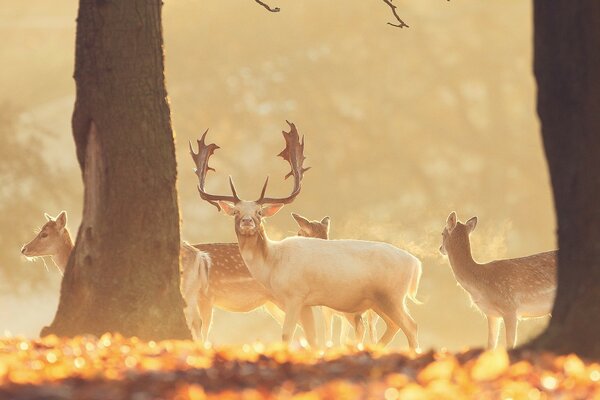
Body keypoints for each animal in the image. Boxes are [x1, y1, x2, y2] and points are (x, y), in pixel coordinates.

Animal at [21, 211, 211, 340]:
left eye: (44, 234)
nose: (24, 249)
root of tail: (200, 257)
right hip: (193, 292)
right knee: (198, 321)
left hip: (186, 289)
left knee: (193, 319)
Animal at [290, 212, 378, 344]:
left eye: (300, 233)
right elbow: (342, 338)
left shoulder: (327, 310)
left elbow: (329, 336)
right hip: (374, 313)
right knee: (374, 333)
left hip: (351, 308)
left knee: (361, 328)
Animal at [436, 212, 556, 346]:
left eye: (442, 233)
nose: (440, 248)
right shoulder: (492, 315)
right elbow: (490, 345)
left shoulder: (510, 308)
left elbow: (509, 345)